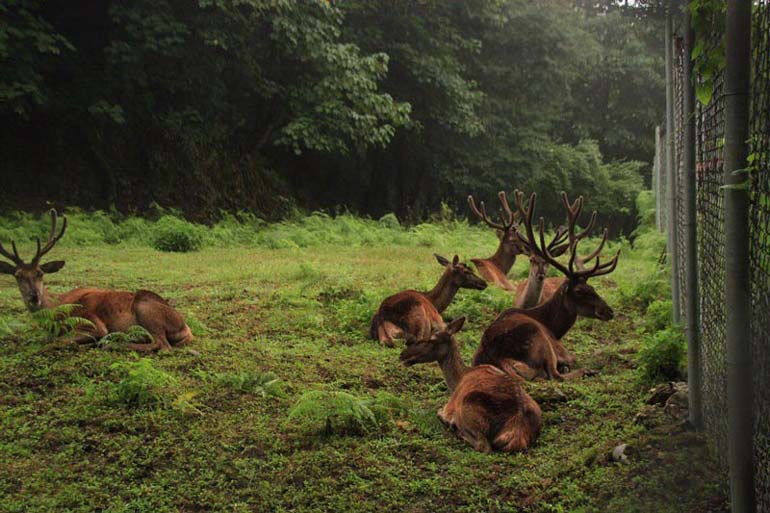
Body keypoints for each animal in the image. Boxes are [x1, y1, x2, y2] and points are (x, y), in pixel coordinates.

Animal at [0, 210, 192, 350]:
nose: (34, 296)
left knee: (162, 345)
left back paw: (114, 344)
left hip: (145, 308)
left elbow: (58, 341)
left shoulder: (92, 321)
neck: (57, 310)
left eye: (40, 273)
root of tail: (185, 328)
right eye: (18, 276)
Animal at [400, 316, 544, 452]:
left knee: (483, 446)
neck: (458, 380)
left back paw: (456, 428)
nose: (403, 355)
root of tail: (515, 430)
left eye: (431, 339)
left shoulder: (450, 405)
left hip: (469, 405)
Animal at [468, 190, 616, 378]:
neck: (552, 326)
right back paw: (588, 370)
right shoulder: (558, 347)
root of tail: (500, 359)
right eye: (579, 291)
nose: (609, 311)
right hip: (540, 339)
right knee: (555, 375)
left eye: (592, 287)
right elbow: (571, 360)